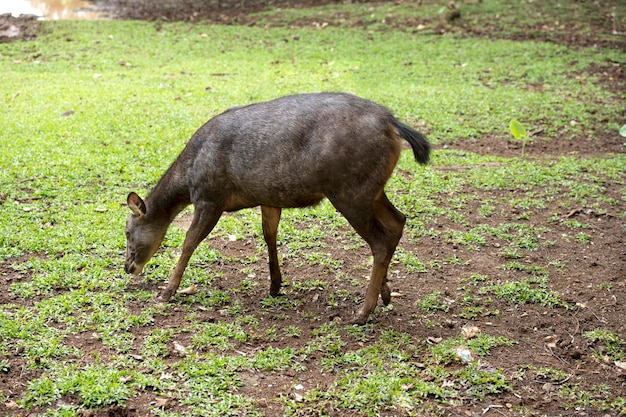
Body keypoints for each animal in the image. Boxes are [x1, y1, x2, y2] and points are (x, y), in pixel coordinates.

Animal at [125, 92, 428, 324]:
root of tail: (392, 123)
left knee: (380, 239)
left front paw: (167, 291)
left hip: (350, 192)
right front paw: (274, 285)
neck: (188, 178)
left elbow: (189, 242)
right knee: (398, 221)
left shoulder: (210, 198)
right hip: (372, 190)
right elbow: (269, 234)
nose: (128, 266)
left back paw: (363, 312)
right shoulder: (268, 197)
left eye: (127, 232)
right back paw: (385, 294)